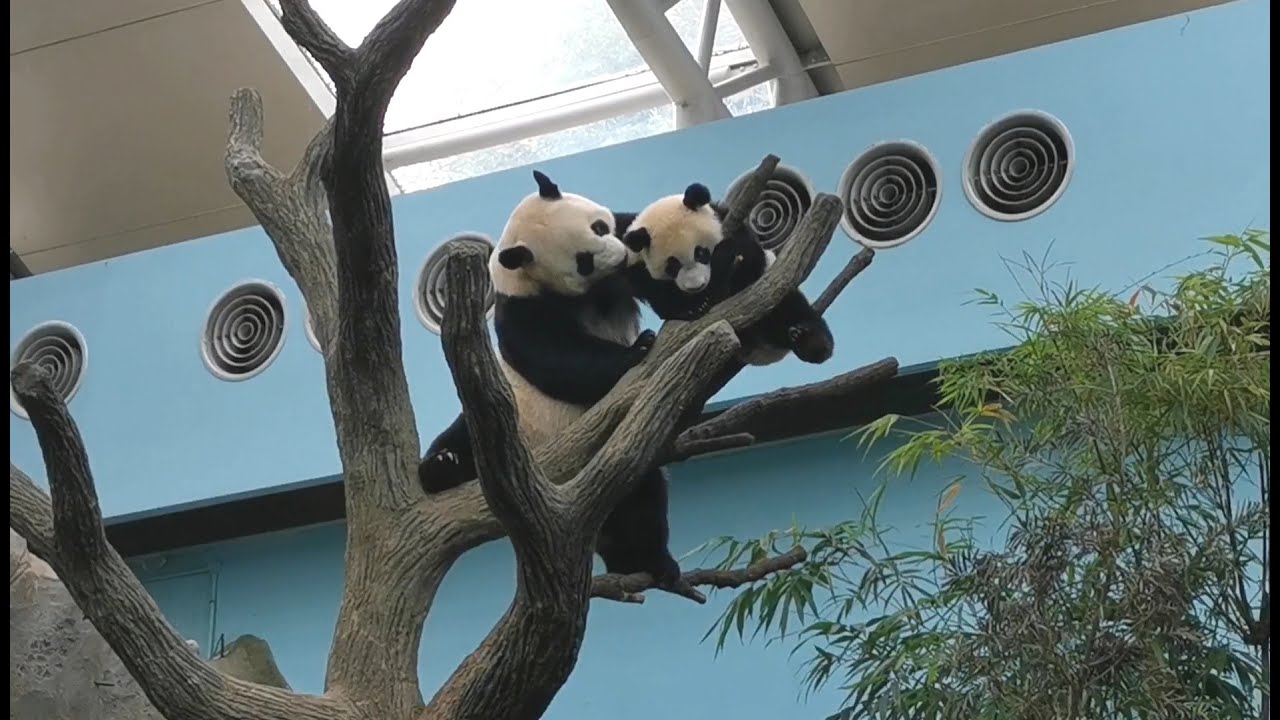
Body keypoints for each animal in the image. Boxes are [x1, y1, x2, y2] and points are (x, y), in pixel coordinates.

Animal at [418, 169, 683, 588]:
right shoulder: (522, 308)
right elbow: (554, 356)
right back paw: (442, 465)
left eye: (599, 226)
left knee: (644, 495)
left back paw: (647, 561)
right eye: (583, 261)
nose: (620, 256)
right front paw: (637, 349)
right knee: (455, 439)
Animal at [616, 182, 835, 367]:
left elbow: (748, 259)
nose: (697, 286)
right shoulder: (637, 269)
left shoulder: (734, 228)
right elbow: (663, 299)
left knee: (790, 308)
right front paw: (693, 307)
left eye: (701, 253)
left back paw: (812, 342)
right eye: (673, 266)